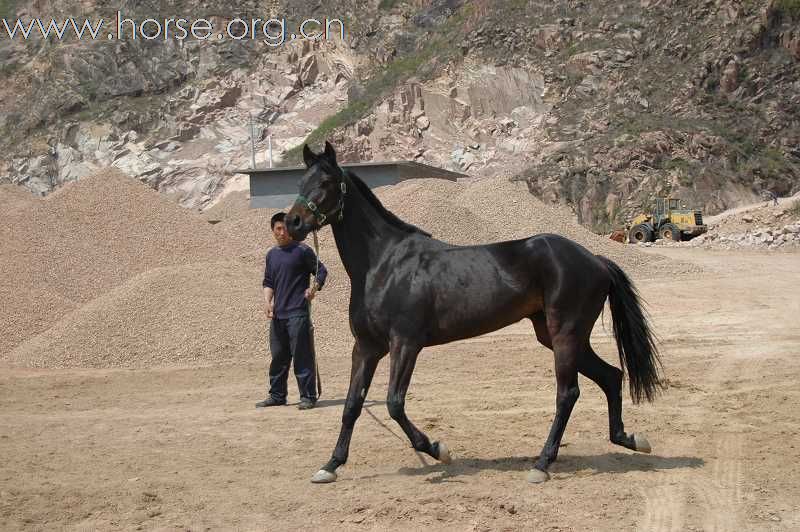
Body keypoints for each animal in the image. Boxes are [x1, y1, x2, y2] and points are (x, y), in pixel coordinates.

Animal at [284, 143, 660, 484]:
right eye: (301, 180)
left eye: (327, 181)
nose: (293, 222)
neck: (385, 264)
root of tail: (596, 260)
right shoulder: (366, 347)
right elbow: (352, 405)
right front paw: (330, 465)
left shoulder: (405, 344)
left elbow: (394, 403)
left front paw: (438, 449)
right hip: (558, 336)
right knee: (611, 376)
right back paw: (629, 439)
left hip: (565, 334)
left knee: (568, 394)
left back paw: (541, 465)